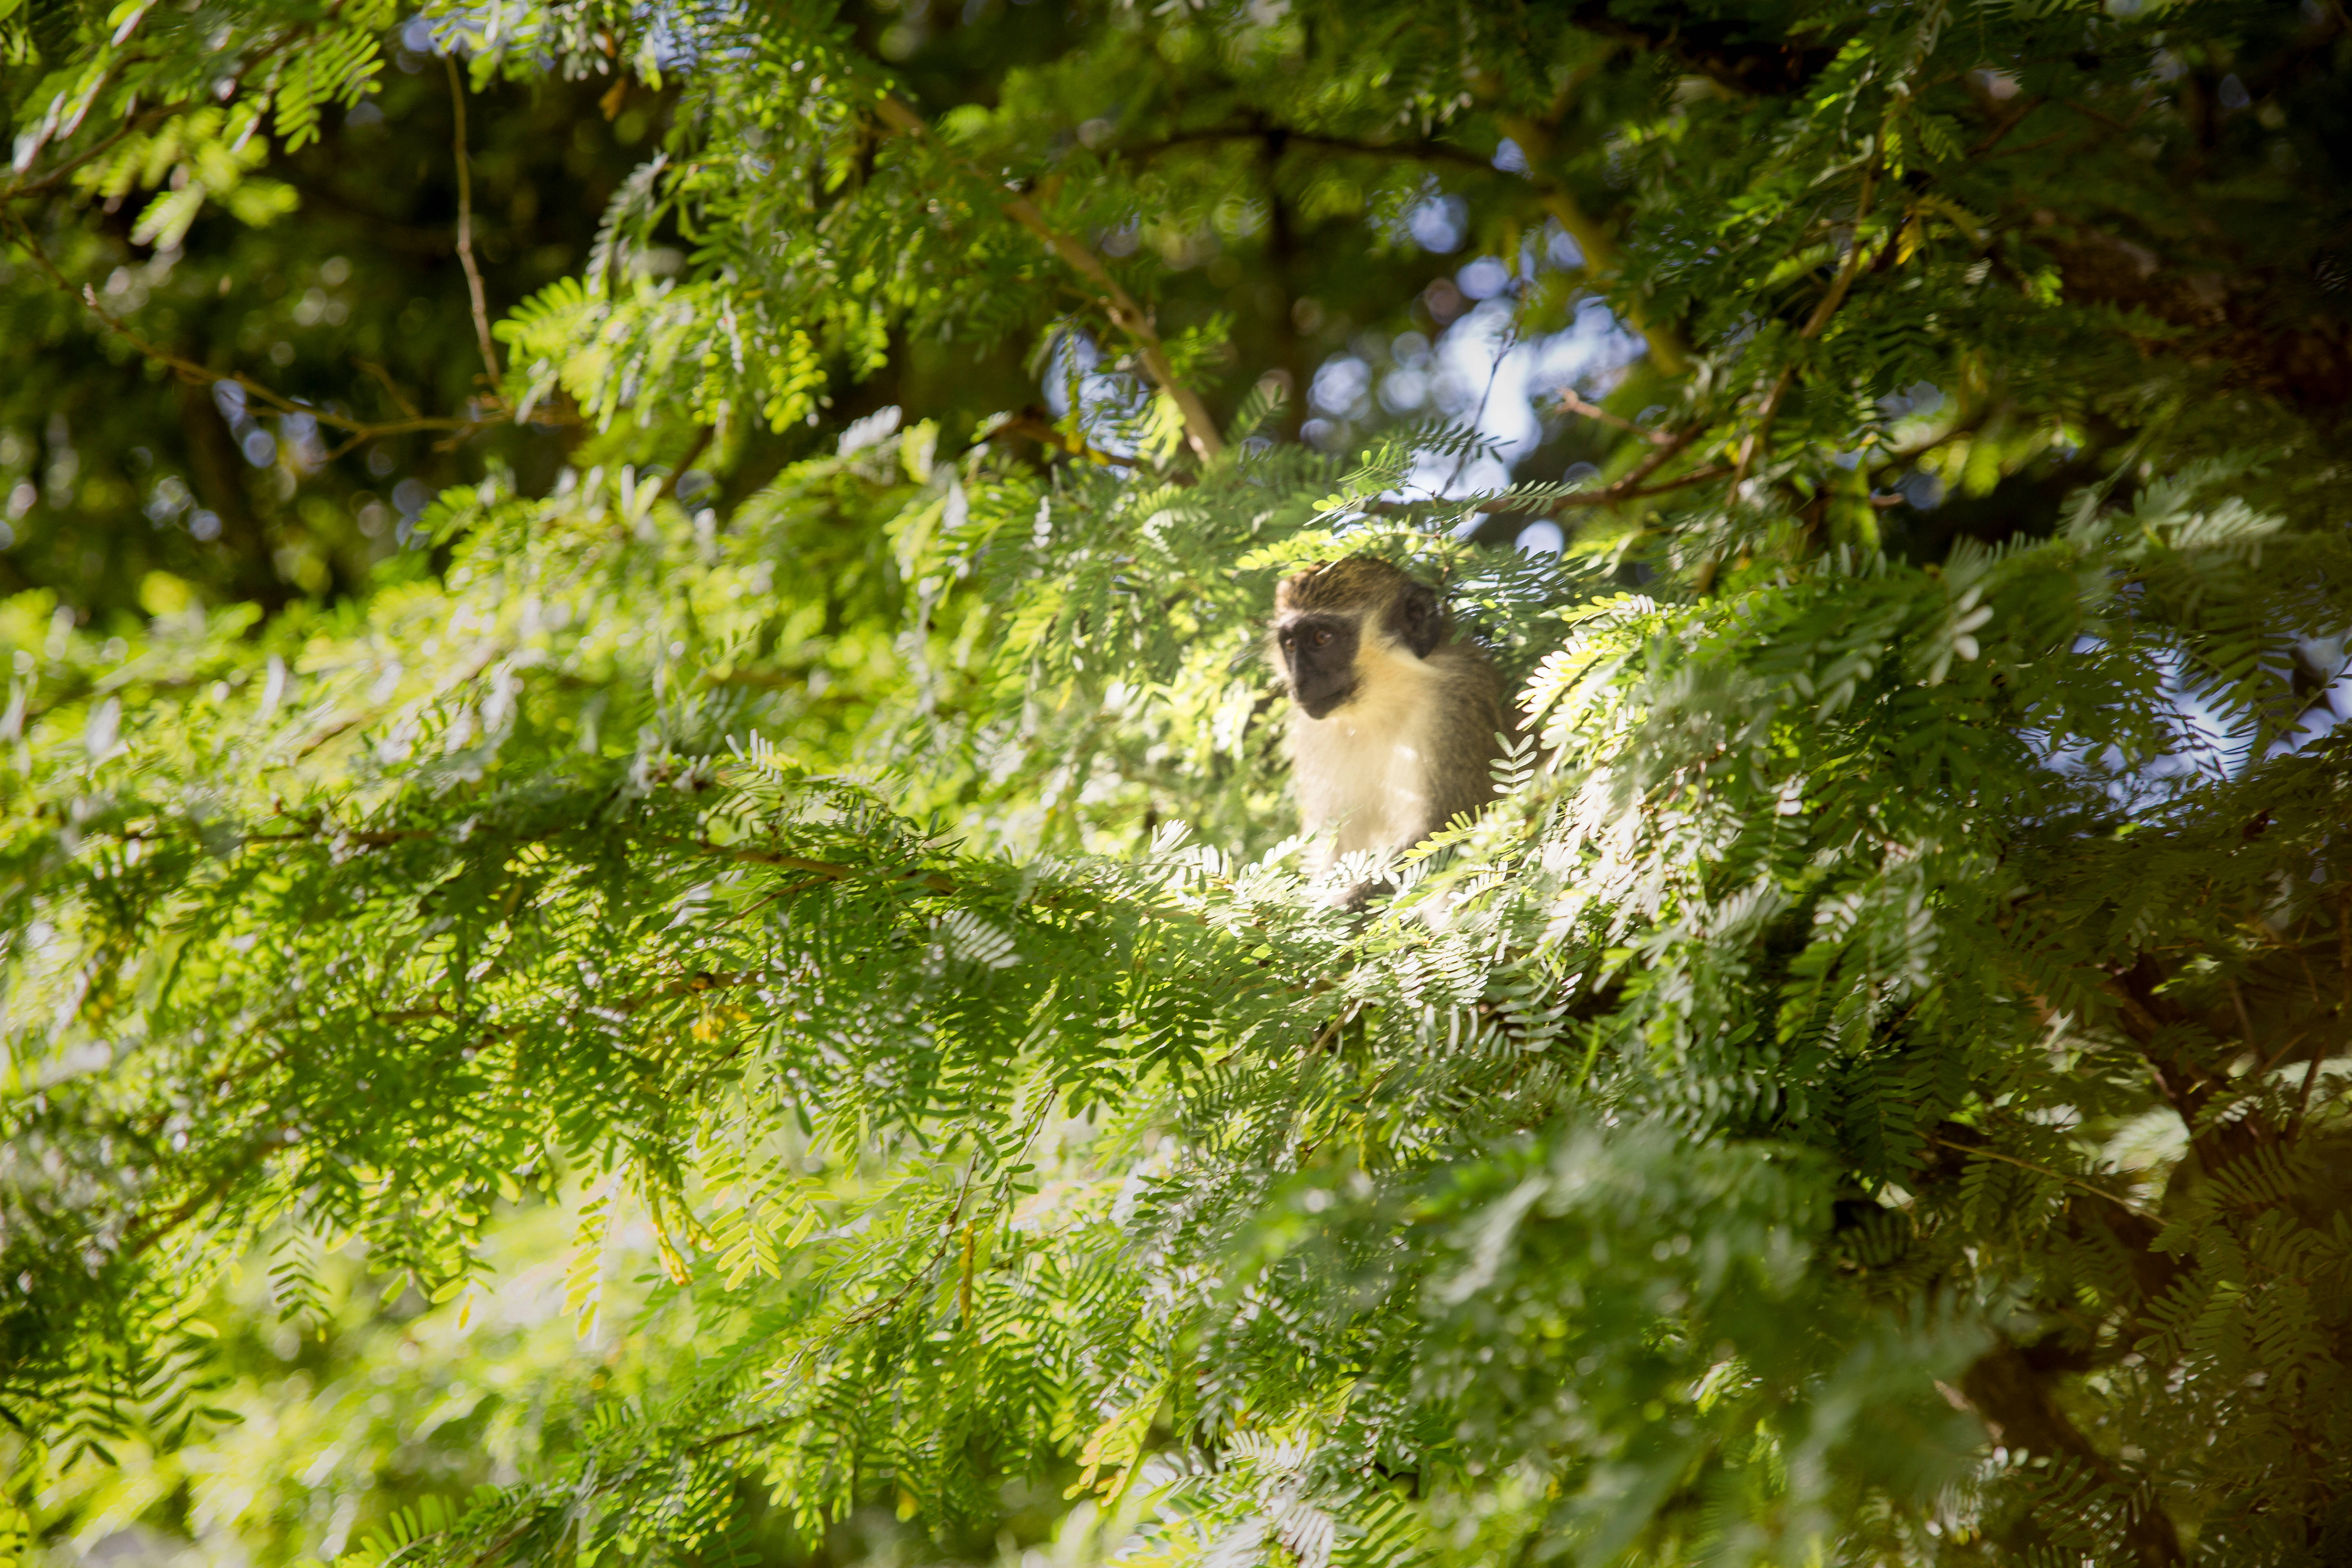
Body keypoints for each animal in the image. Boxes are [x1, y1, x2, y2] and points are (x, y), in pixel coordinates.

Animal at [1266, 557, 1510, 899]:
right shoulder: (1314, 732)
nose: (1299, 682)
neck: (1379, 707)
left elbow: (1446, 832)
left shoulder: (1456, 706)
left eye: (1322, 638)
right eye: (1290, 644)